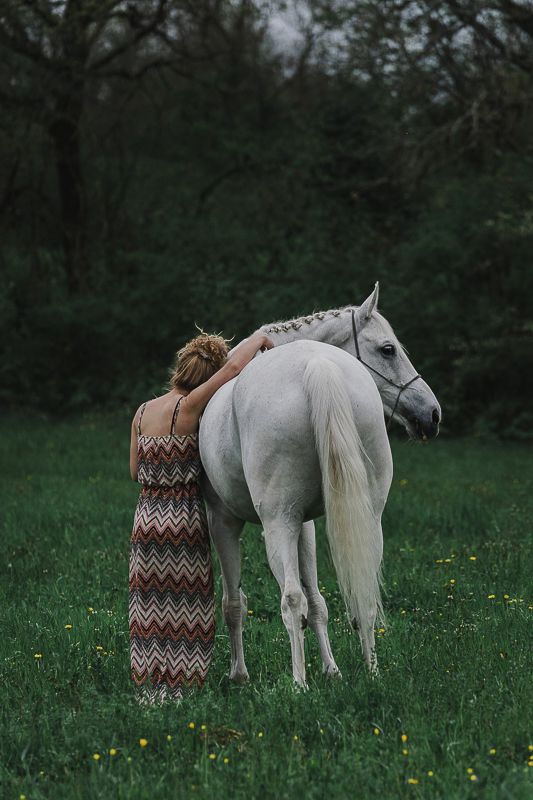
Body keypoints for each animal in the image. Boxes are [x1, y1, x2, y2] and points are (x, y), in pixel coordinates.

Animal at [199, 283, 440, 686]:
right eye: (387, 349)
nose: (432, 414)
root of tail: (317, 365)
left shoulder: (226, 521)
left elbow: (236, 602)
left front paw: (238, 674)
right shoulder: (307, 524)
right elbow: (318, 602)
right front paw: (332, 670)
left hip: (278, 524)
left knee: (290, 600)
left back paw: (298, 684)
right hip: (366, 517)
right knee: (362, 594)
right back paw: (371, 672)